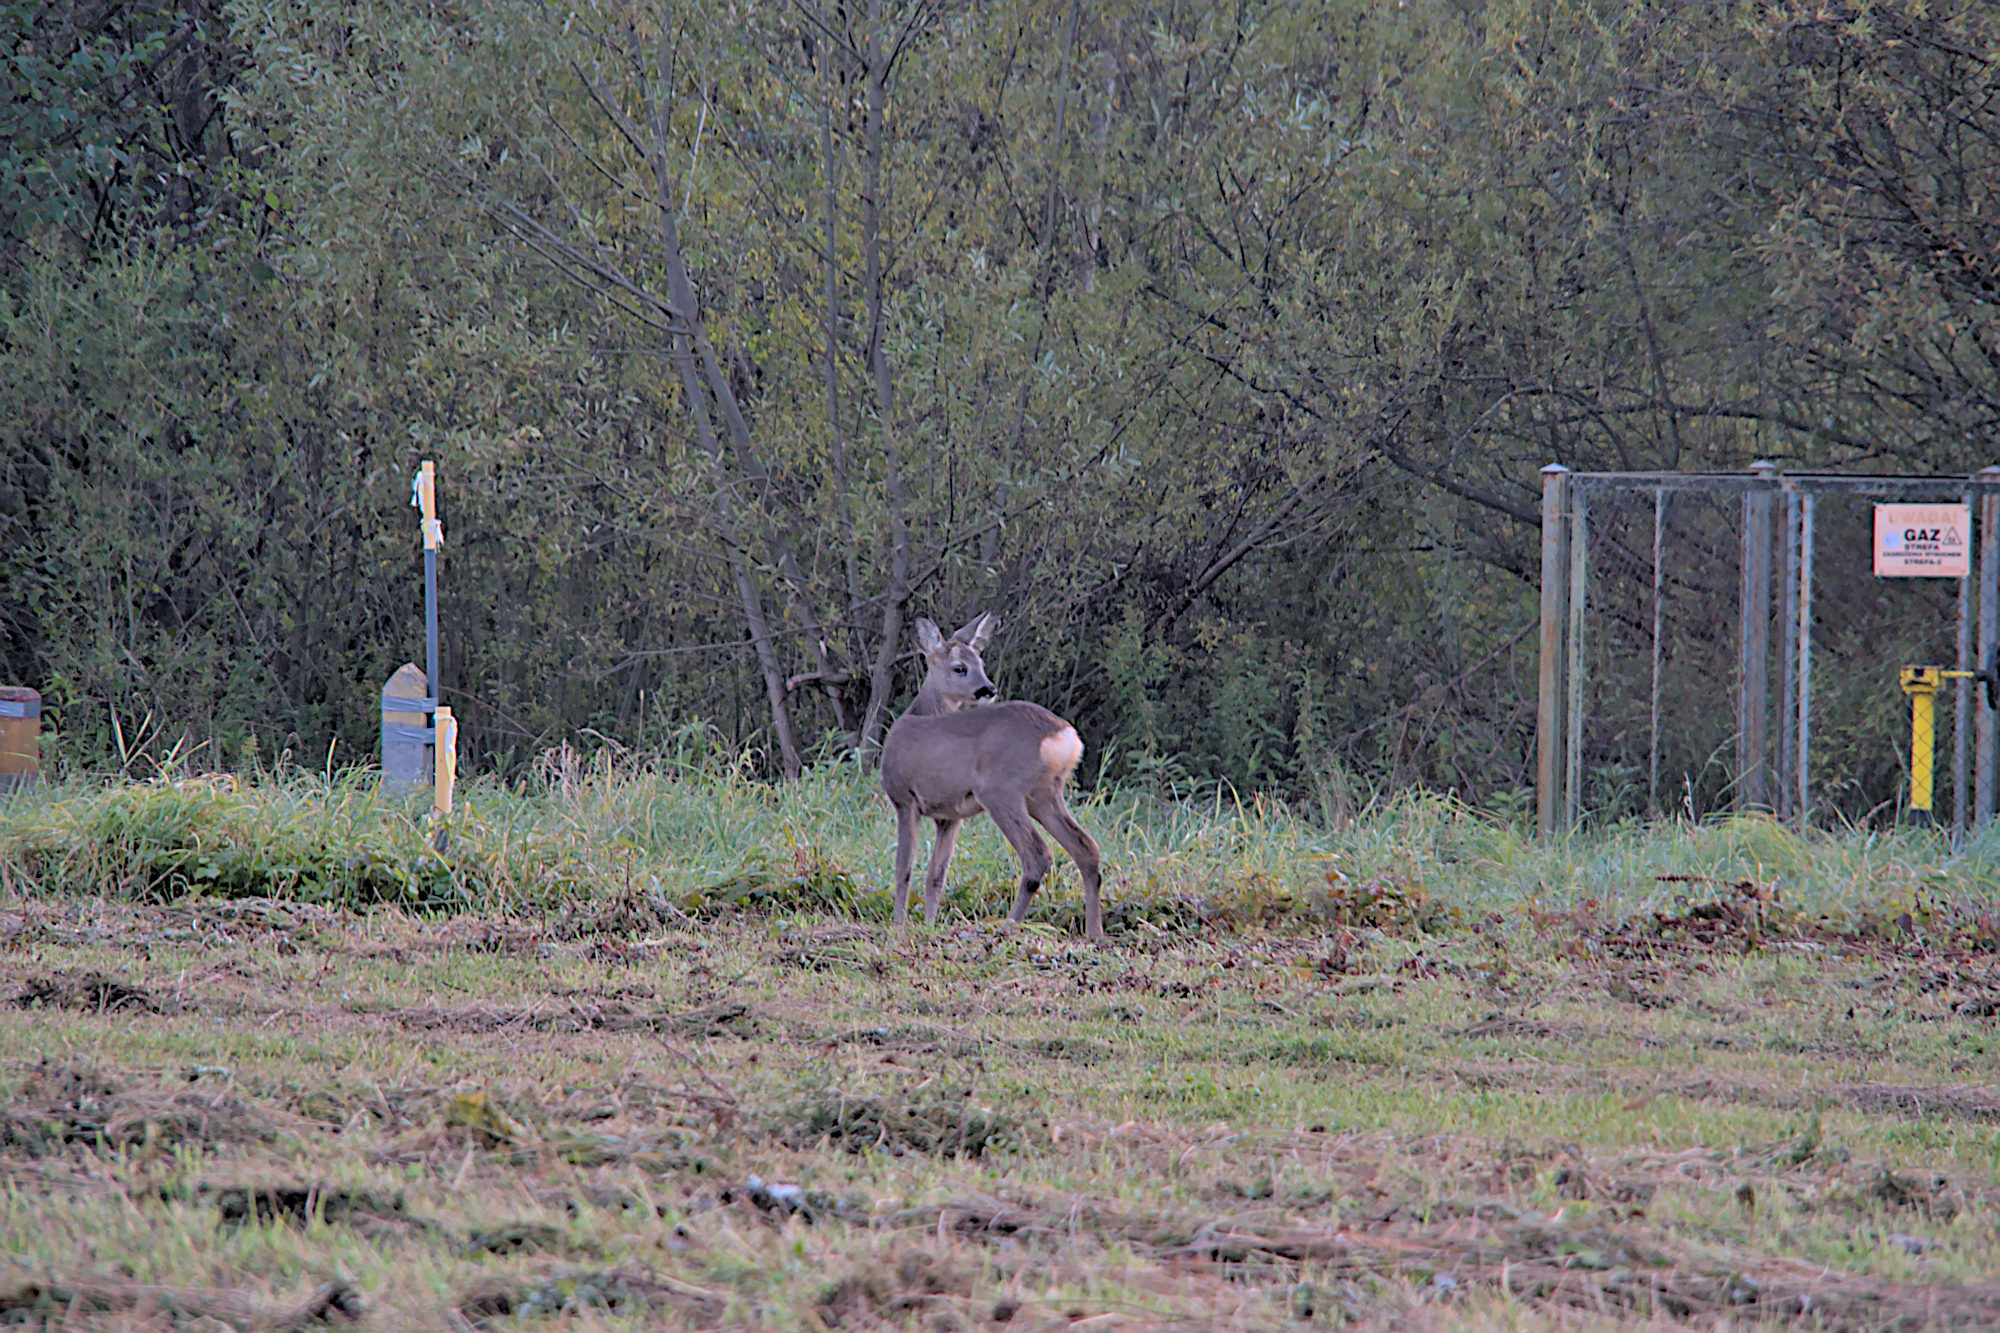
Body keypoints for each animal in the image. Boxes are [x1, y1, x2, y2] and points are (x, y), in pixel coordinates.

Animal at [884, 608, 1112, 932]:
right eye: (960, 668)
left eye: (979, 663)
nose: (988, 689)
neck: (918, 715)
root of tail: (1064, 736)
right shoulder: (949, 817)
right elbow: (936, 875)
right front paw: (929, 924)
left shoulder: (903, 797)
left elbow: (903, 868)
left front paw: (898, 925)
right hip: (1044, 794)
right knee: (1087, 849)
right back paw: (1094, 933)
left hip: (1001, 791)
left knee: (1038, 854)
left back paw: (1009, 925)